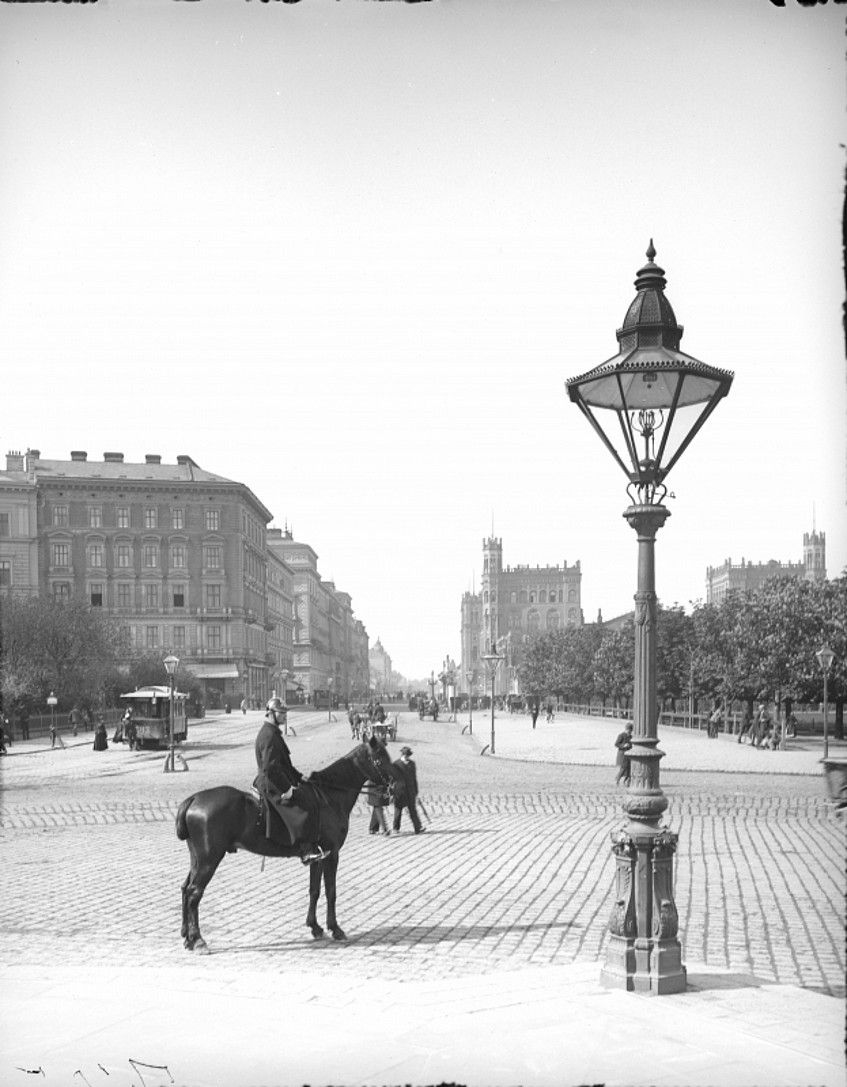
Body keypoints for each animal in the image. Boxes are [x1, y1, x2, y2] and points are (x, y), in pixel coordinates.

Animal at [177, 734, 395, 956]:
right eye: (380, 759)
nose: (393, 785)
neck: (329, 797)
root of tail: (194, 798)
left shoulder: (319, 856)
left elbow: (314, 890)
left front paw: (315, 927)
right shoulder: (332, 854)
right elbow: (331, 891)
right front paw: (335, 928)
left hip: (197, 858)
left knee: (186, 888)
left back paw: (187, 937)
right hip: (209, 859)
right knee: (194, 893)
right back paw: (198, 940)